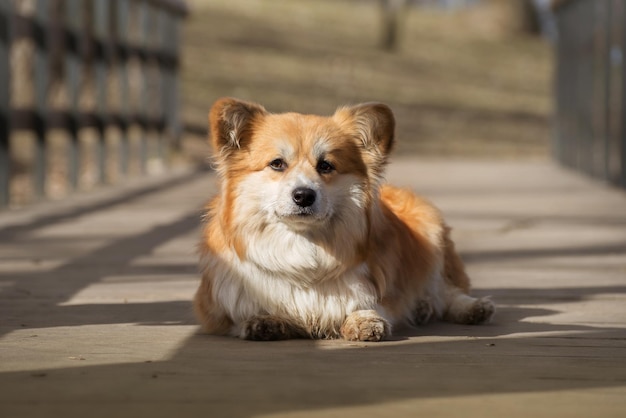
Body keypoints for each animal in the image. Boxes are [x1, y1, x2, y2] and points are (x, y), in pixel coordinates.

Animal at [193, 99, 494, 342]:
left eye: (326, 165)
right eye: (277, 164)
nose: (304, 195)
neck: (303, 245)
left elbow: (364, 304)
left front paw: (364, 320)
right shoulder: (217, 309)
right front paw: (264, 321)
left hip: (432, 235)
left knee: (446, 290)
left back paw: (470, 308)